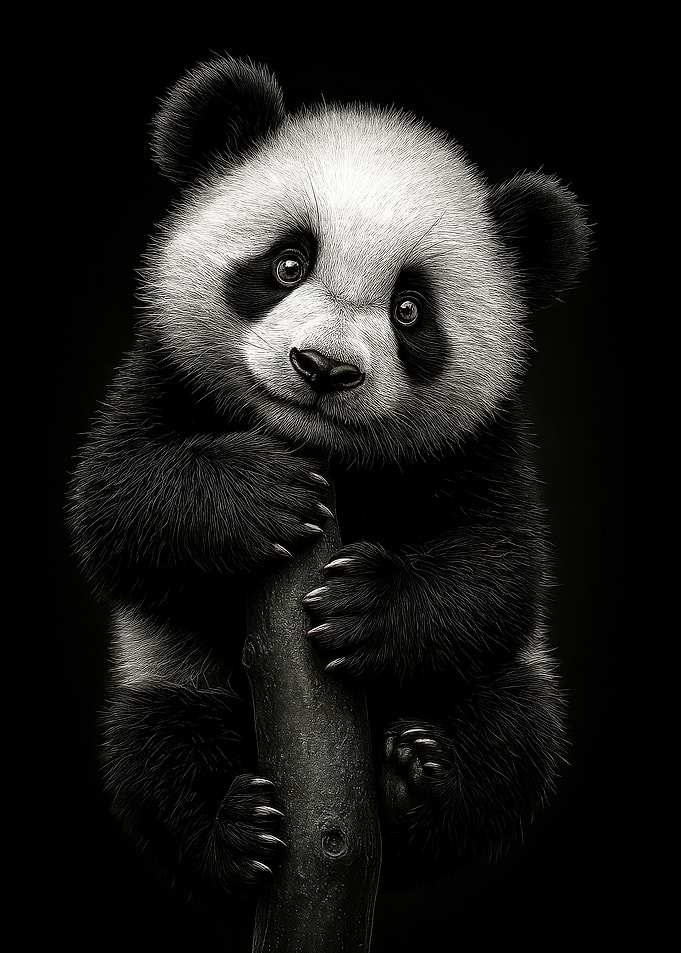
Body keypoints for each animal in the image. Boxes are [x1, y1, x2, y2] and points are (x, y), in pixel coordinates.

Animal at [68, 55, 589, 900]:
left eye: (409, 310)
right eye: (288, 262)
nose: (323, 368)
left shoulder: (481, 441)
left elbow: (499, 568)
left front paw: (363, 604)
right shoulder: (163, 372)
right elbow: (114, 505)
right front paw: (263, 498)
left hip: (499, 686)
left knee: (512, 736)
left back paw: (419, 781)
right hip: (169, 671)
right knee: (157, 748)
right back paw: (233, 825)